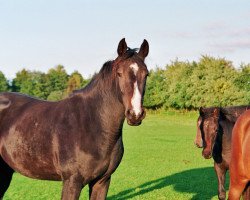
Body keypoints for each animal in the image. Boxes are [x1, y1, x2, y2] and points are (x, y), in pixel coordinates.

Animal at [0, 38, 148, 199]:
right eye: (119, 73)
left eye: (146, 74)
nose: (135, 114)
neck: (93, 123)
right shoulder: (72, 181)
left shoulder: (102, 181)